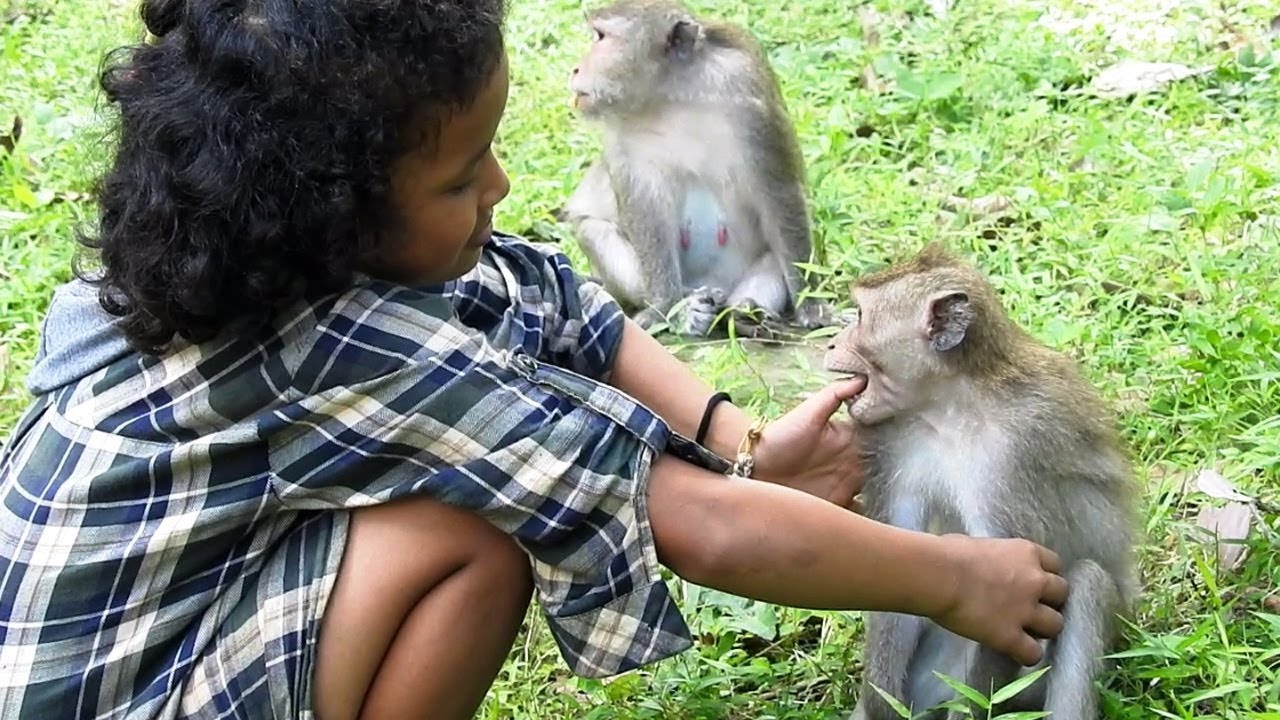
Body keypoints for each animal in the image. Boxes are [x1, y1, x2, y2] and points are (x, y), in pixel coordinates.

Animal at [561, 0, 834, 337]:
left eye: (601, 36)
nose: (575, 69)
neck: (671, 94)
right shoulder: (621, 135)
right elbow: (645, 209)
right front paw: (669, 309)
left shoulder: (749, 100)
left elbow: (780, 195)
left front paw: (812, 306)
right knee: (592, 230)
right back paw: (688, 306)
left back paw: (744, 311)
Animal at [822, 244, 1140, 720]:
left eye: (859, 316)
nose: (830, 342)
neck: (950, 406)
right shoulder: (894, 438)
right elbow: (904, 552)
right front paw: (880, 707)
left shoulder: (1013, 451)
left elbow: (1018, 587)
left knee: (1088, 582)